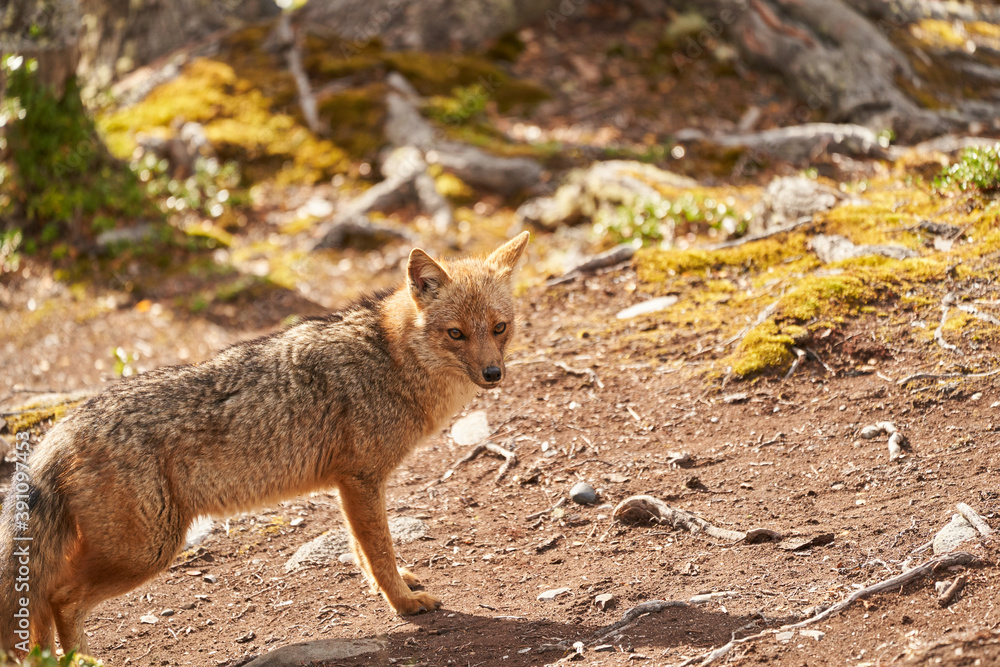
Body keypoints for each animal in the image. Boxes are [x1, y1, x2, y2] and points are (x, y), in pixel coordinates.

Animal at [0, 232, 530, 659]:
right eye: (456, 333)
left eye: (499, 328)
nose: (493, 374)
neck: (390, 358)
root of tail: (62, 427)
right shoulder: (360, 480)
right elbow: (378, 550)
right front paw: (403, 602)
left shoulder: (352, 486)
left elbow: (365, 550)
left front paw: (398, 583)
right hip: (147, 552)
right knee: (60, 598)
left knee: (40, 600)